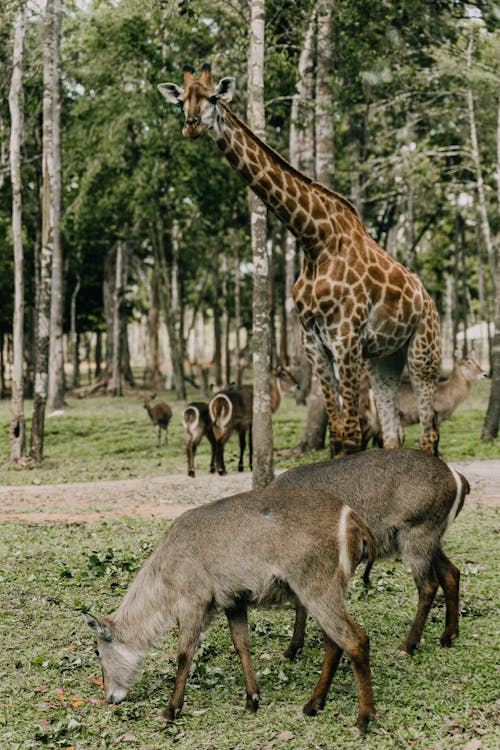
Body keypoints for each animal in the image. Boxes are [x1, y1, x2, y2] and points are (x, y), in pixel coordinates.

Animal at [85, 488, 376, 736]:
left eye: (97, 651)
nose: (109, 697)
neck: (165, 564)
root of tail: (353, 518)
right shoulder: (234, 602)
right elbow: (241, 644)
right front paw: (252, 700)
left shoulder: (192, 602)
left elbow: (184, 653)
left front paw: (170, 710)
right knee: (334, 643)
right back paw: (312, 705)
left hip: (317, 590)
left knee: (355, 640)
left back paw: (362, 721)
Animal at [158, 63, 440, 458]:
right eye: (181, 100)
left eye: (213, 97)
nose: (191, 125)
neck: (313, 242)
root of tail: (428, 299)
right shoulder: (314, 344)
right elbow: (338, 434)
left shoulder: (345, 339)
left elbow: (352, 434)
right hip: (384, 358)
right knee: (394, 435)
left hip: (423, 352)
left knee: (429, 433)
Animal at [270, 450, 468, 660]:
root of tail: (456, 477)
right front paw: (292, 650)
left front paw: (291, 650)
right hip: (431, 541)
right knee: (451, 573)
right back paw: (448, 636)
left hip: (417, 537)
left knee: (429, 585)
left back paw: (407, 646)